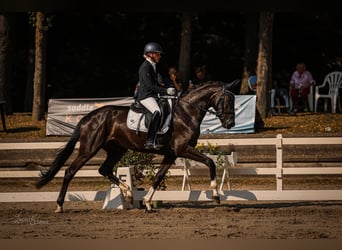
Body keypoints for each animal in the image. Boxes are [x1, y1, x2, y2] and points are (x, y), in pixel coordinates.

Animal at [36, 81, 236, 212]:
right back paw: (59, 205)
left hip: (117, 149)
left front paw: (147, 202)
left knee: (104, 169)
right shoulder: (182, 149)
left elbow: (158, 176)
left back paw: (128, 193)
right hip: (89, 149)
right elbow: (210, 162)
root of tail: (88, 117)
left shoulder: (171, 154)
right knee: (70, 171)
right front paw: (216, 195)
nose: (230, 124)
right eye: (227, 101)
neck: (186, 113)